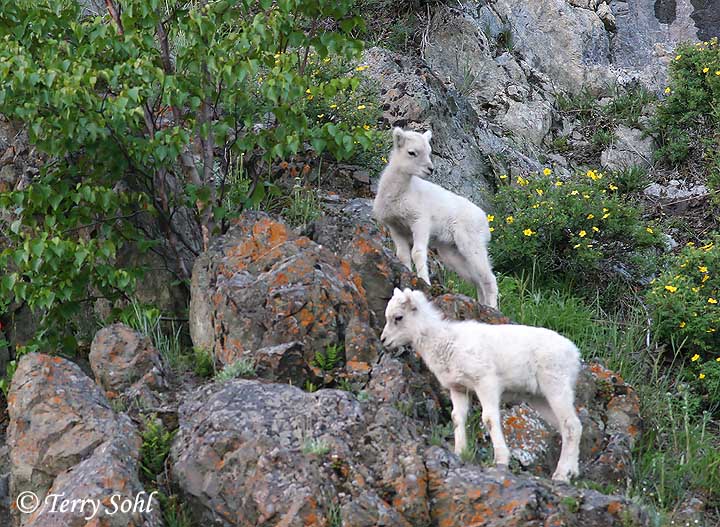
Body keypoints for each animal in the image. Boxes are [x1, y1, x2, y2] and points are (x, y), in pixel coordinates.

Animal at [373, 127, 498, 308]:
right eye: (412, 152)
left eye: (429, 151)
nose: (430, 169)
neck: (401, 193)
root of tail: (484, 221)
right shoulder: (395, 228)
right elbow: (403, 255)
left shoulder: (420, 223)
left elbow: (417, 253)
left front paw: (424, 281)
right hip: (451, 253)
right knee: (477, 280)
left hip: (472, 244)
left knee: (489, 278)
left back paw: (492, 308)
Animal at [380, 288, 583, 482]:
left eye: (398, 317)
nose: (384, 341)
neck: (445, 342)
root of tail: (574, 353)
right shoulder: (459, 388)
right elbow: (457, 418)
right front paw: (460, 452)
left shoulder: (486, 382)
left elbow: (489, 419)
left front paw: (500, 460)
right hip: (539, 398)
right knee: (568, 428)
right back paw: (572, 472)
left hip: (556, 386)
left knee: (571, 425)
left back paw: (562, 475)